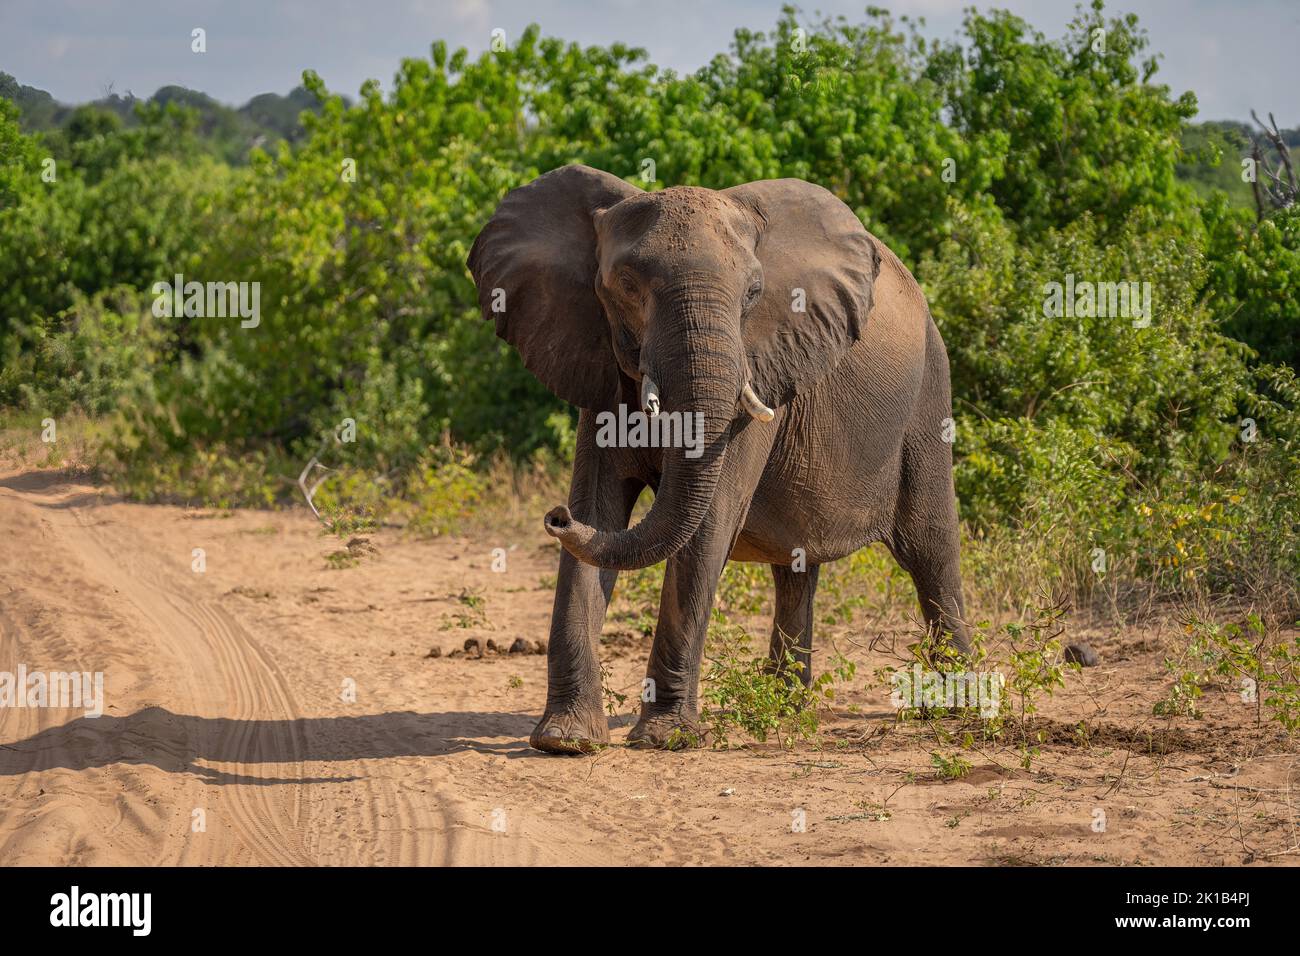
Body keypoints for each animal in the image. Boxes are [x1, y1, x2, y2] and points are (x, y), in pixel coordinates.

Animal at [467, 164, 970, 753]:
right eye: (627, 285)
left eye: (754, 292)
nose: (554, 516)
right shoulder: (599, 362)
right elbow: (600, 505)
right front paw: (564, 741)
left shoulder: (759, 372)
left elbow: (708, 522)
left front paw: (664, 740)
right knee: (796, 568)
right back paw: (785, 709)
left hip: (929, 393)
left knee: (929, 549)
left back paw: (958, 709)